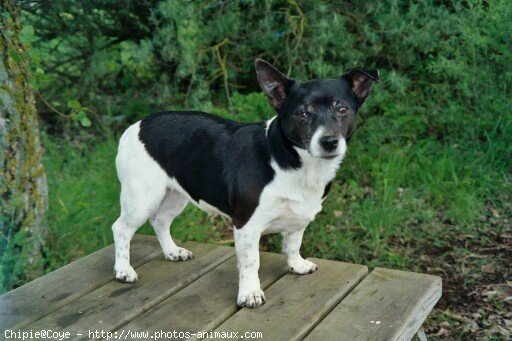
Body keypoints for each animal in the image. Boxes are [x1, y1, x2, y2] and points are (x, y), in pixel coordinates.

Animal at [114, 59, 382, 308]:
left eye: (342, 109)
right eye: (303, 114)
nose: (329, 142)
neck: (296, 164)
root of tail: (134, 126)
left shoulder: (298, 219)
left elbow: (293, 244)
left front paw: (297, 265)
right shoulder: (246, 227)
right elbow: (251, 262)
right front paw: (250, 293)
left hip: (174, 195)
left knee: (159, 220)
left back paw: (172, 252)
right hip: (142, 199)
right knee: (121, 229)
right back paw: (123, 270)